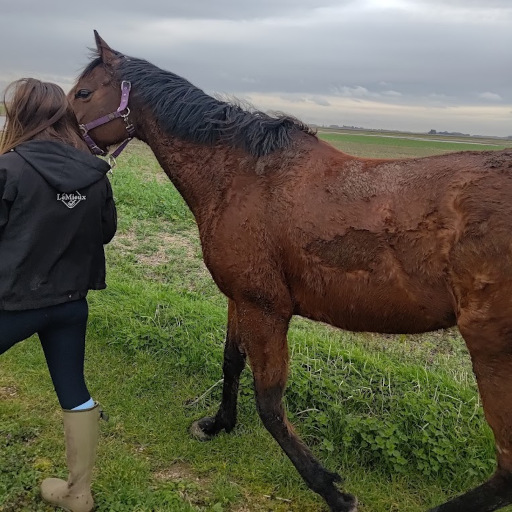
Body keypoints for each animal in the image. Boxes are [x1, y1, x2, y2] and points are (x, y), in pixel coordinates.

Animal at [70, 32, 512, 512]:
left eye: (83, 93)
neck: (243, 177)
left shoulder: (265, 310)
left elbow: (269, 403)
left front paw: (330, 489)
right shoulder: (241, 299)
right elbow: (231, 362)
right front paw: (218, 424)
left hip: (492, 352)